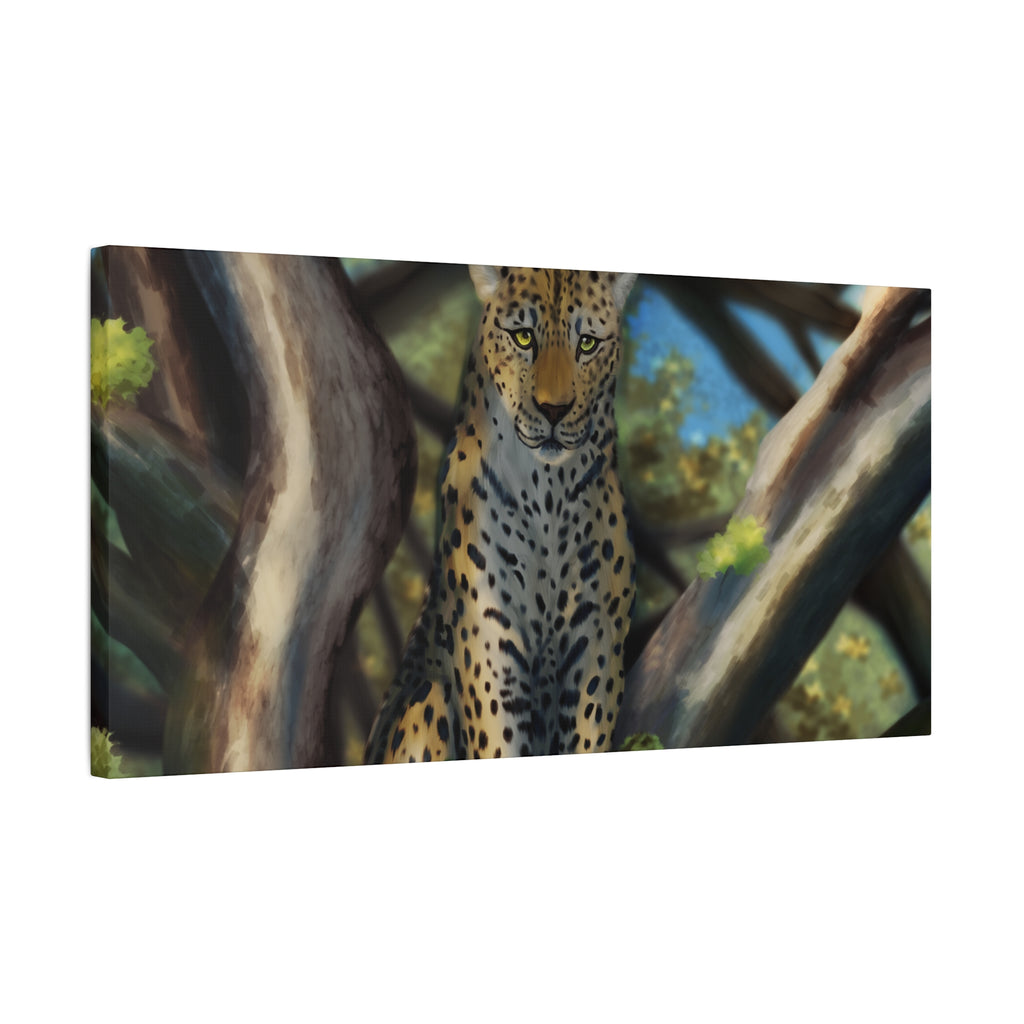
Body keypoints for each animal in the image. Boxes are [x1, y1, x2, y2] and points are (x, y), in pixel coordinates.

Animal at [365, 265, 637, 763]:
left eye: (587, 343)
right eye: (523, 336)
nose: (554, 410)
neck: (548, 491)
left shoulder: (598, 643)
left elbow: (588, 735)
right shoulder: (490, 641)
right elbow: (497, 739)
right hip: (424, 703)